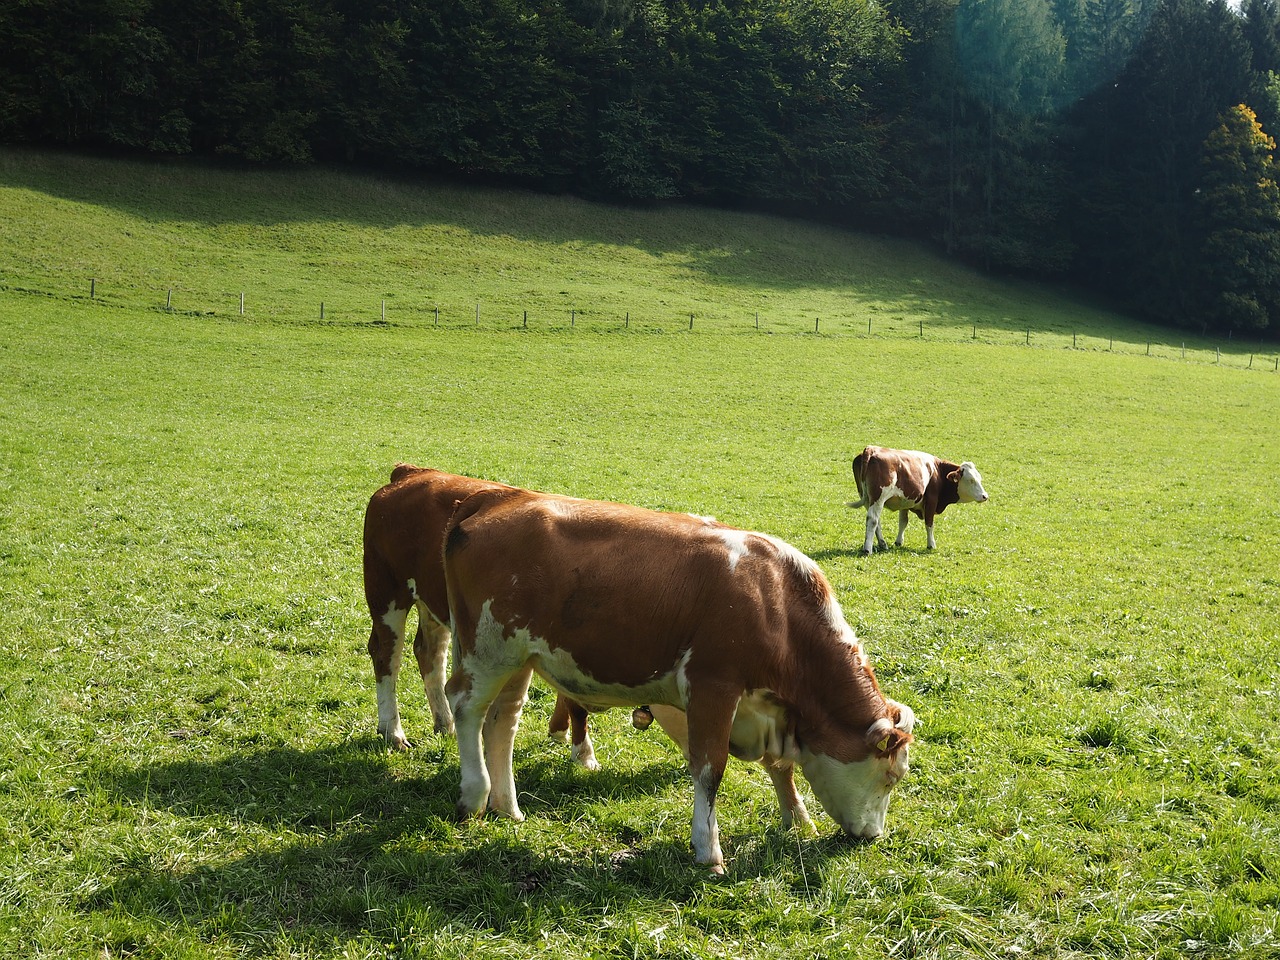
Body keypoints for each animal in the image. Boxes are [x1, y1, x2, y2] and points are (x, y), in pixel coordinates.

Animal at [363, 463, 596, 773]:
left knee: (429, 653)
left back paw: (445, 722)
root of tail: (411, 472)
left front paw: (560, 731)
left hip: (434, 601)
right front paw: (584, 754)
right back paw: (392, 731)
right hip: (386, 590)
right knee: (385, 654)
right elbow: (577, 701)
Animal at [445, 491, 916, 875]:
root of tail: (494, 500)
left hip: (517, 659)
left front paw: (797, 817)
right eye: (891, 777)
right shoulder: (713, 687)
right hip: (488, 651)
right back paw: (474, 795)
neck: (776, 604)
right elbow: (710, 770)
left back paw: (508, 806)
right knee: (466, 708)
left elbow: (779, 766)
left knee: (502, 723)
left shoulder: (766, 708)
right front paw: (709, 850)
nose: (874, 836)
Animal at [849, 450, 988, 555]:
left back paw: (883, 544)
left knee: (876, 521)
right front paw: (931, 544)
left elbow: (903, 522)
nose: (985, 496)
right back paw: (868, 549)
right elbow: (929, 523)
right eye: (971, 480)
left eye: (980, 478)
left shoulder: (904, 501)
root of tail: (871, 449)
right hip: (878, 497)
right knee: (872, 519)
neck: (938, 471)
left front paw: (899, 542)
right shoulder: (932, 500)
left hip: (868, 499)